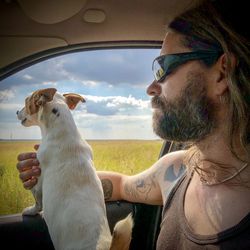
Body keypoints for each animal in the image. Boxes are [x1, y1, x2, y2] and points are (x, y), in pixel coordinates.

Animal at [16, 88, 133, 250]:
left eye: (26, 101)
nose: (16, 111)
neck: (63, 132)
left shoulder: (39, 180)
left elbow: (37, 201)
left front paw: (30, 211)